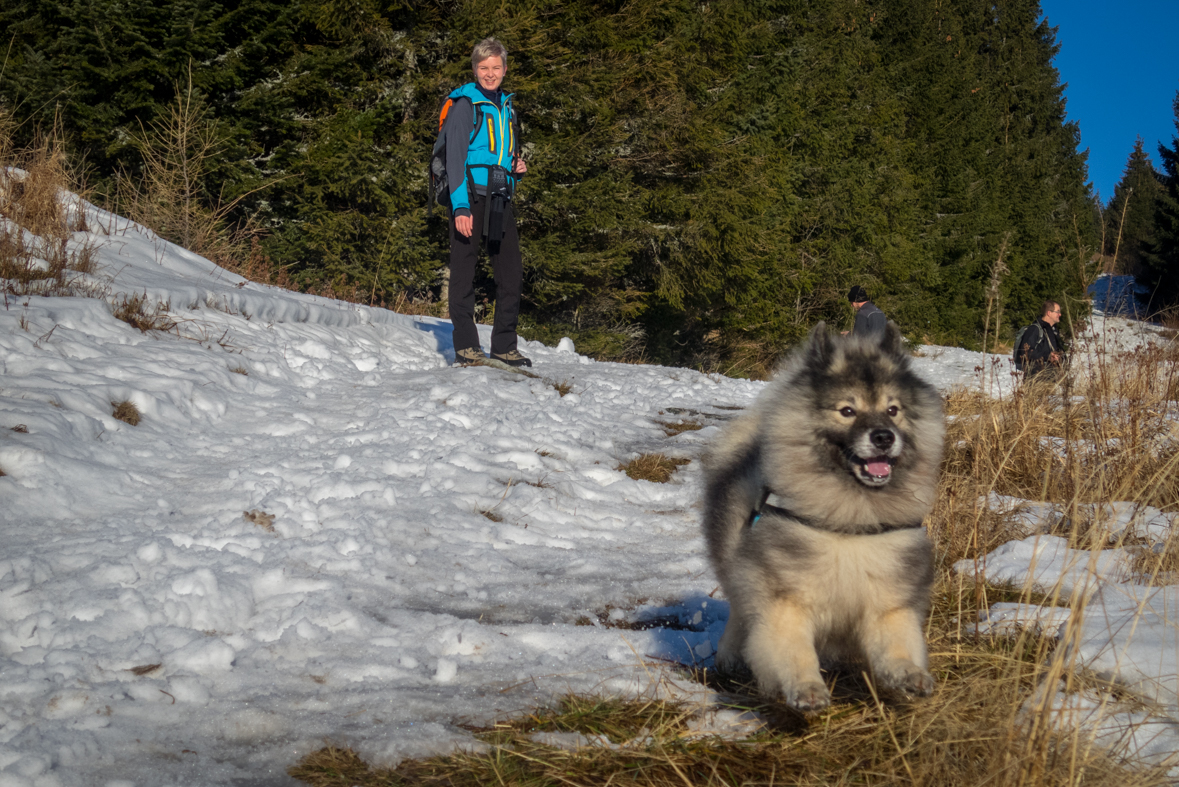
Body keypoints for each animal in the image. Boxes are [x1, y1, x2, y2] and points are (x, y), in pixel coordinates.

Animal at [702, 322, 943, 711]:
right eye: (847, 410)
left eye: (893, 410)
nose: (883, 437)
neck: (850, 521)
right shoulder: (787, 601)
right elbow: (793, 651)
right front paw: (806, 689)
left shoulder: (887, 602)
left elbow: (897, 645)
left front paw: (908, 674)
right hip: (737, 565)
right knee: (739, 612)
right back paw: (729, 657)